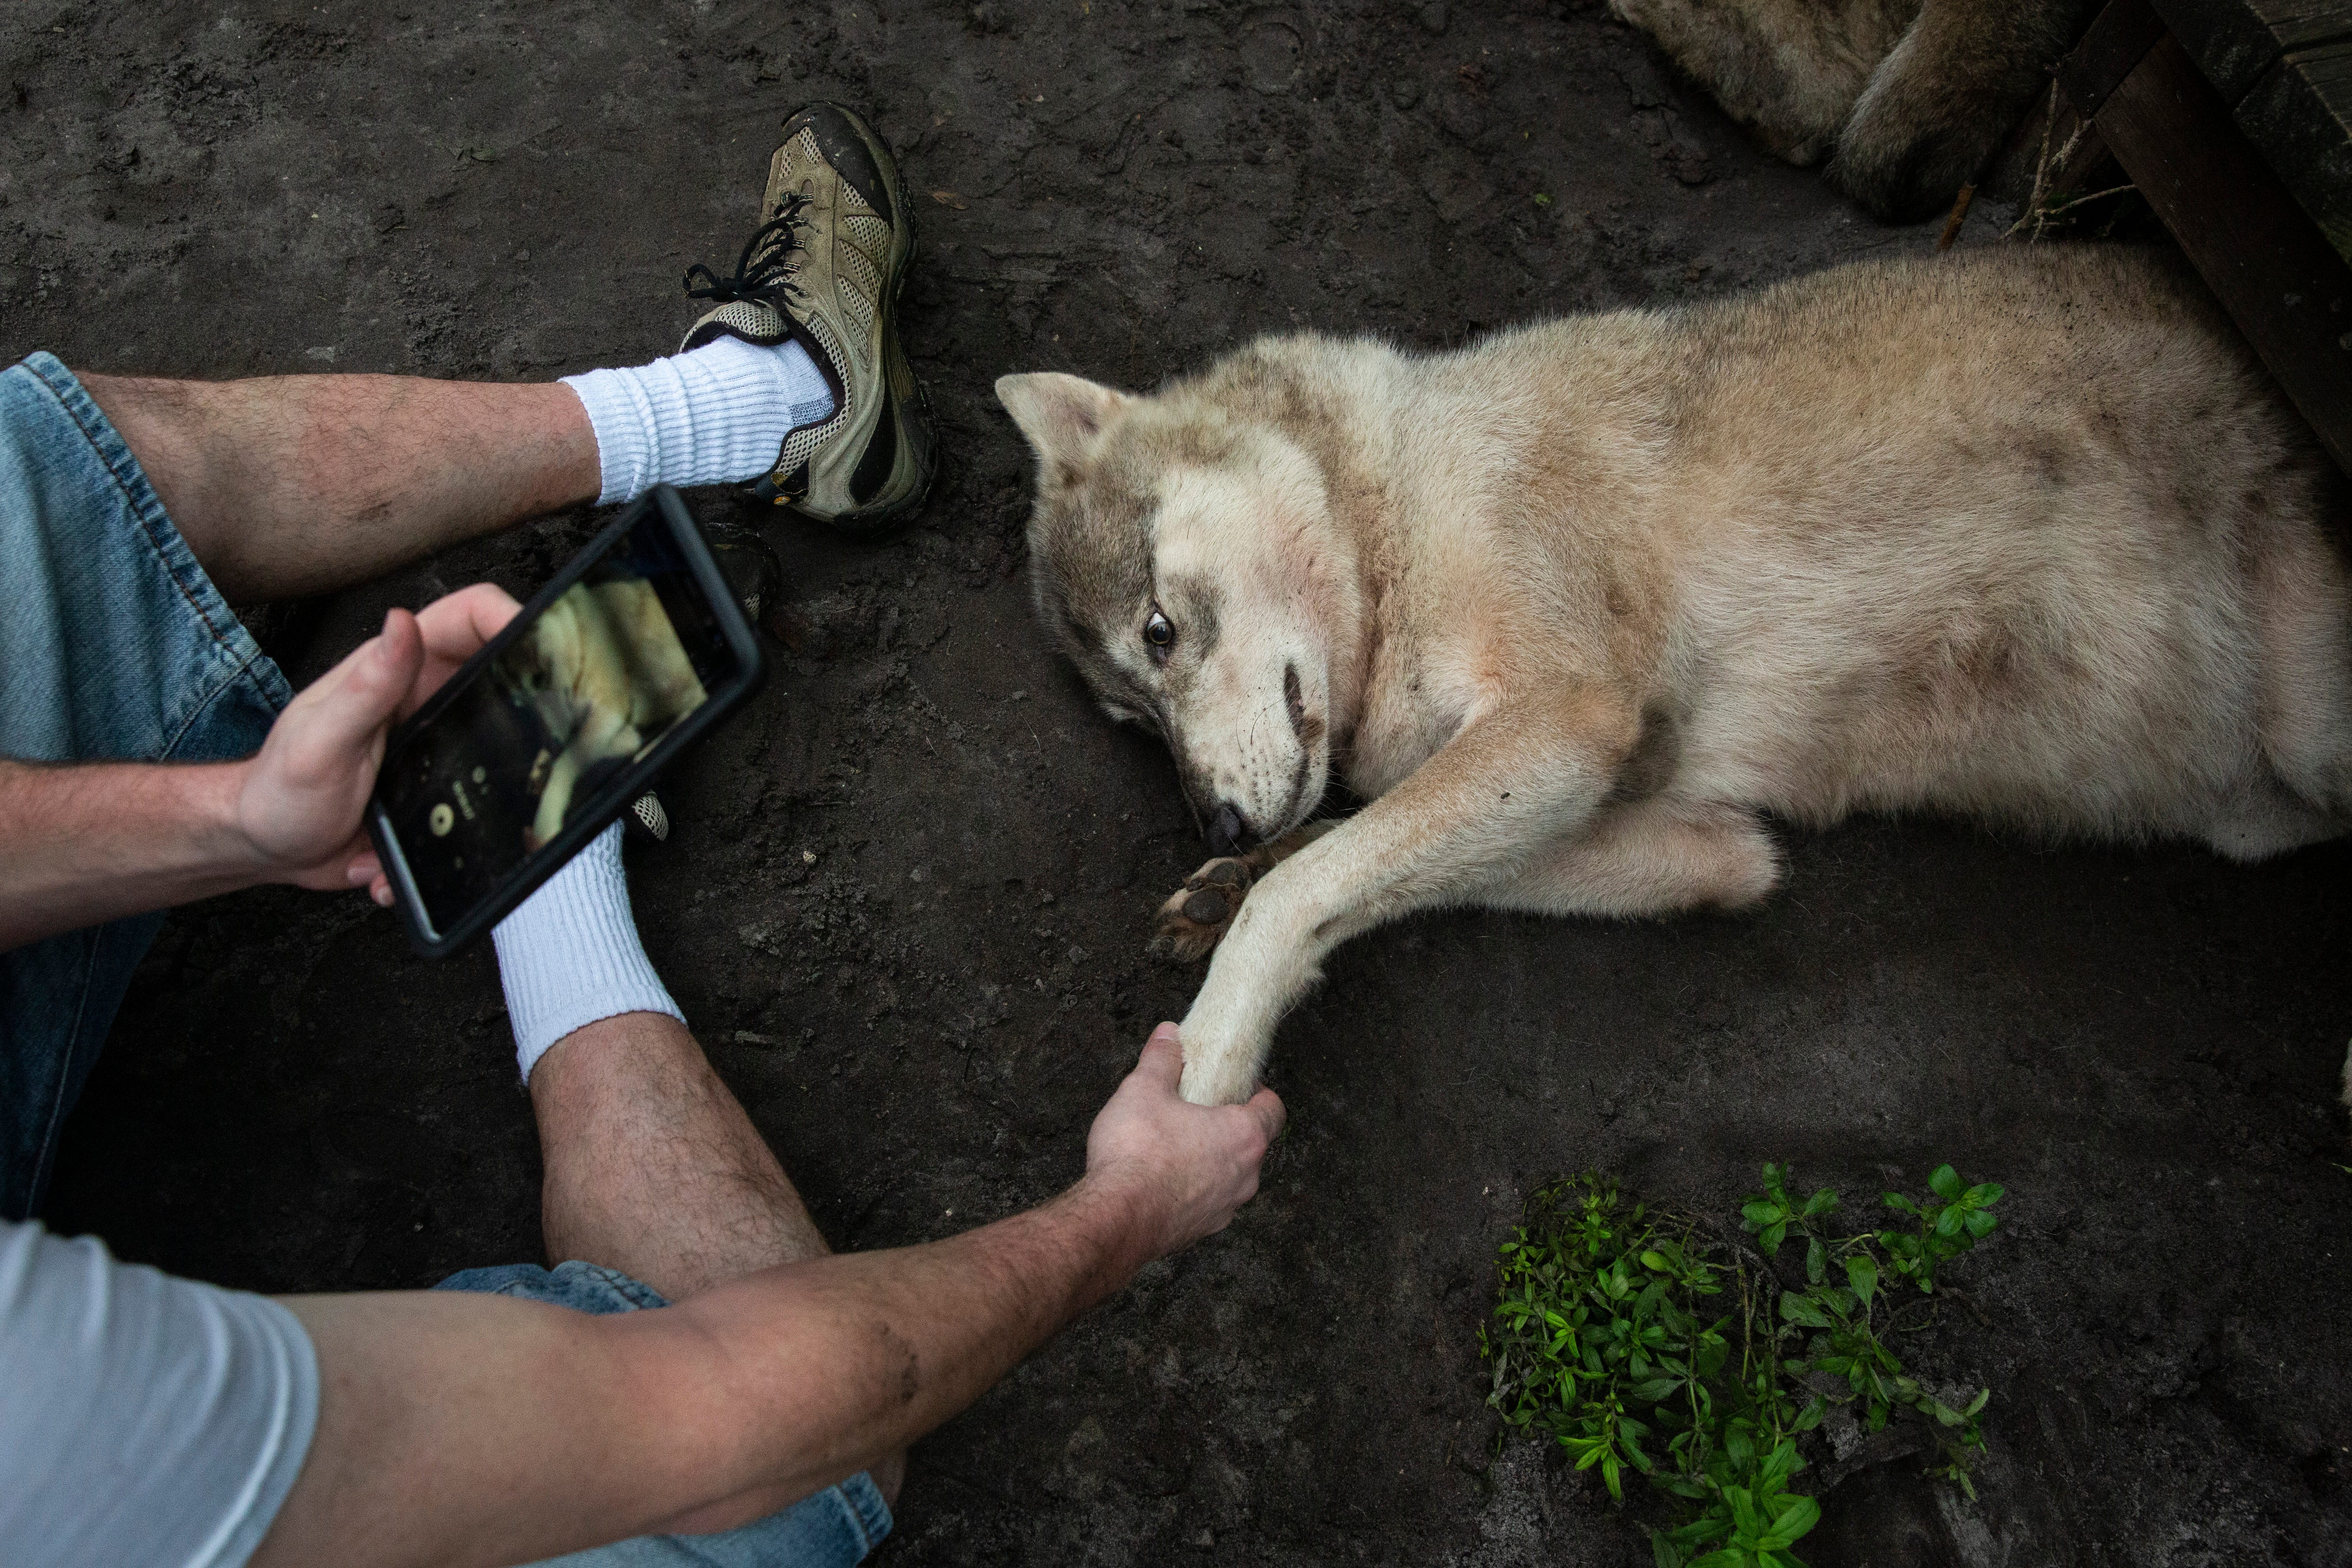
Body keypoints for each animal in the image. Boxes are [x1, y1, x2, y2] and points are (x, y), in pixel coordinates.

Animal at [997, 246, 2352, 1109]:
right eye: (1129, 719)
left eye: (1157, 633)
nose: (1212, 821)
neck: (1399, 506)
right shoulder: (1703, 842)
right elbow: (1347, 855)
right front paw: (1223, 886)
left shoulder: (1561, 720)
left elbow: (1310, 880)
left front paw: (1213, 1037)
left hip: (2313, 722)